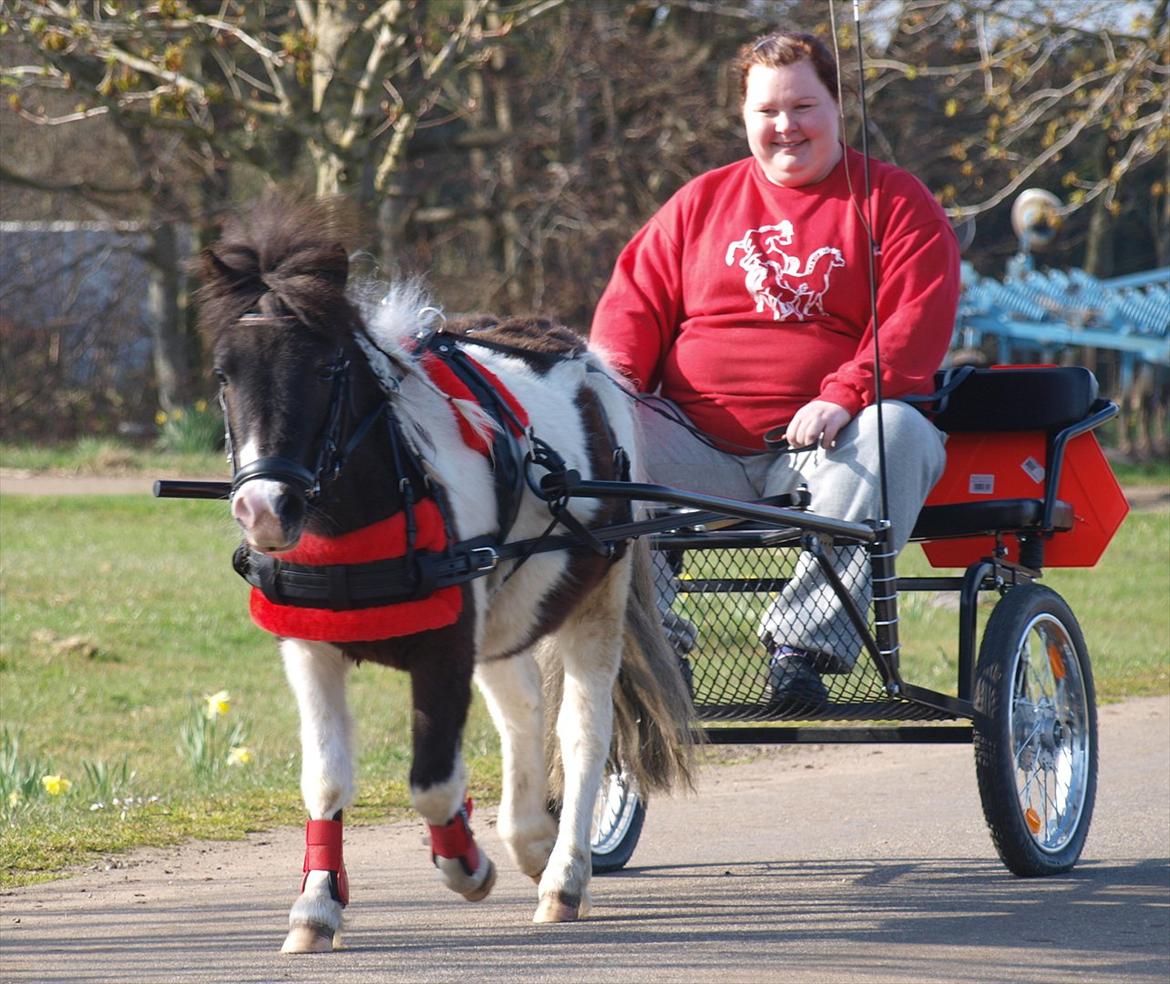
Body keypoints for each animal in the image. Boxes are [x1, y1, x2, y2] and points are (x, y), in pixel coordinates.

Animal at [196, 194, 692, 950]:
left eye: (326, 368)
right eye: (226, 374)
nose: (264, 509)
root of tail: (583, 356)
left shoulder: (447, 645)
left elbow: (432, 781)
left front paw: (466, 865)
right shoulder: (310, 649)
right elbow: (326, 779)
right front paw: (316, 905)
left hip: (596, 602)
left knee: (581, 733)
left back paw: (564, 874)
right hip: (510, 610)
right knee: (523, 712)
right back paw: (530, 838)